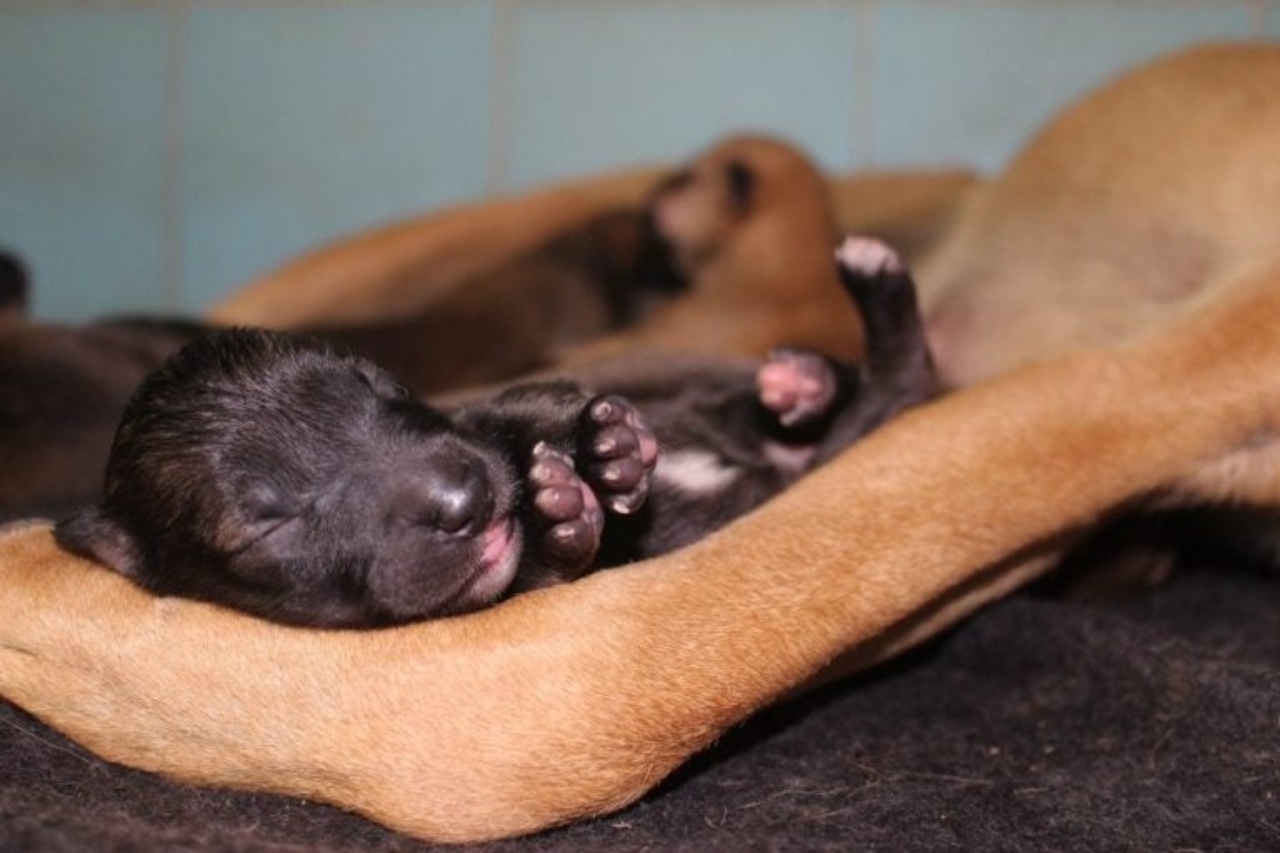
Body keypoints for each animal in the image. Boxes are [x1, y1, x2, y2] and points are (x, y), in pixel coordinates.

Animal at [5, 39, 1274, 845]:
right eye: (264, 516)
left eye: (372, 388)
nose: (462, 494)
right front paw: (575, 507)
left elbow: (544, 409)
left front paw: (590, 452)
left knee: (882, 393)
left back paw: (820, 354)